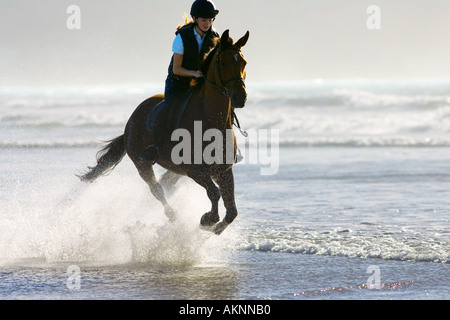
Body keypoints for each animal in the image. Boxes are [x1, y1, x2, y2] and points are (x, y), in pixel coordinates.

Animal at [79, 30, 251, 235]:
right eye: (223, 62)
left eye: (243, 63)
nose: (240, 98)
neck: (210, 120)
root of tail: (130, 120)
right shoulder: (194, 169)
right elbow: (214, 193)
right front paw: (207, 219)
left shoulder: (223, 170)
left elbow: (231, 210)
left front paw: (213, 226)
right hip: (142, 163)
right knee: (157, 189)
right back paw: (172, 215)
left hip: (175, 170)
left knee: (166, 184)